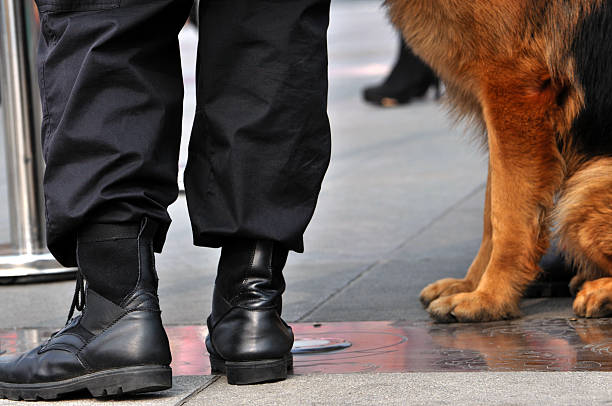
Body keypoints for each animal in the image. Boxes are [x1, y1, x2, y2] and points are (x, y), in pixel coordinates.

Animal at [388, 0, 612, 324]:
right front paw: (470, 285)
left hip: (586, 189)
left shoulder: (513, 90)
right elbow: (490, 213)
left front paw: (489, 297)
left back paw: (600, 291)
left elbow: (509, 215)